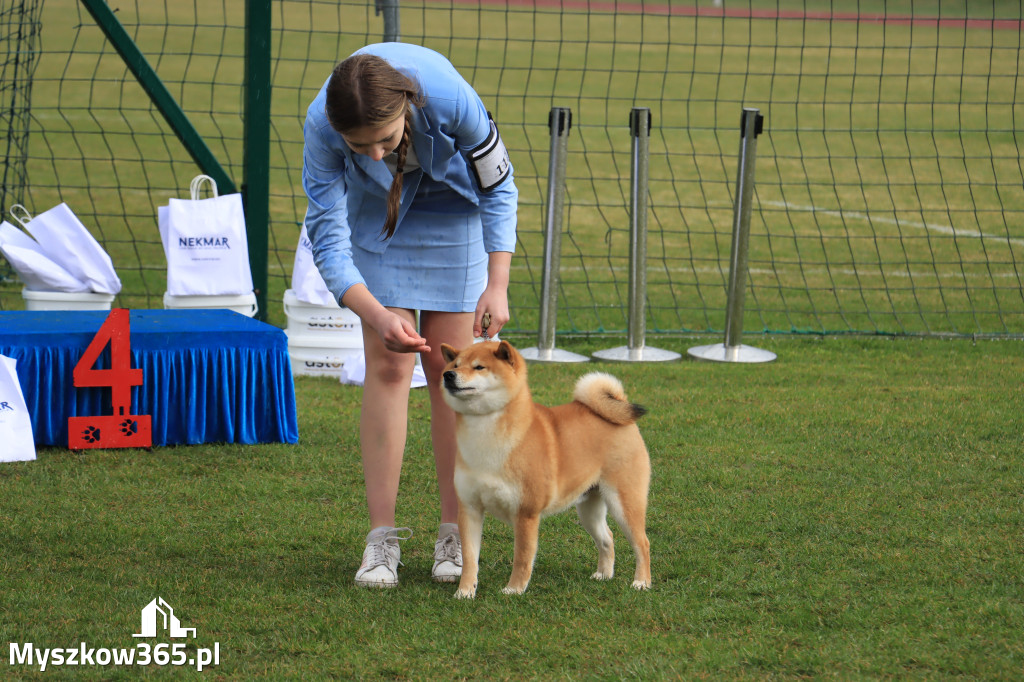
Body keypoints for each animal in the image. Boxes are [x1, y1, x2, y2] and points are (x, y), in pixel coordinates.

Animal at [438, 337, 647, 593]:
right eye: (455, 365)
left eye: (479, 367)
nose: (448, 375)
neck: (485, 435)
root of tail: (620, 408)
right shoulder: (470, 509)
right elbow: (469, 558)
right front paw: (465, 591)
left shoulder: (526, 512)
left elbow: (522, 557)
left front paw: (514, 590)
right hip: (589, 507)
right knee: (607, 538)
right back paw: (603, 574)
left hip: (624, 501)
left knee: (642, 542)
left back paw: (642, 581)